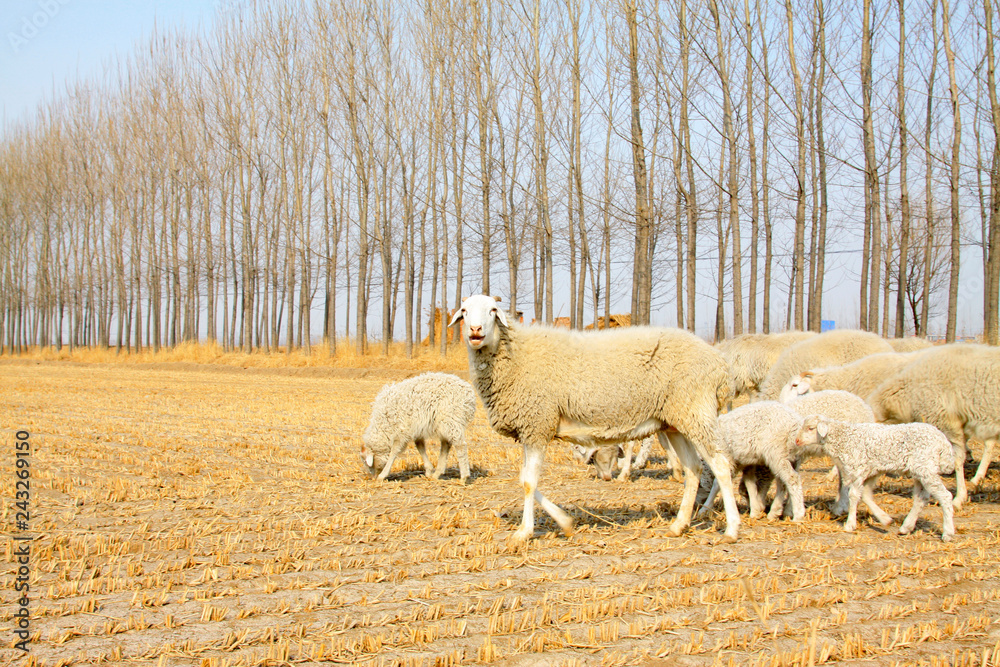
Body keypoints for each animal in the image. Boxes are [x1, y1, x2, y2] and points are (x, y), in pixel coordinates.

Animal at [448, 294, 742, 542]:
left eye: (493, 310)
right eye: (464, 311)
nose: (475, 331)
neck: (515, 354)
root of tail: (719, 363)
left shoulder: (538, 424)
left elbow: (529, 482)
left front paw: (524, 532)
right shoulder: (531, 428)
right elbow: (523, 479)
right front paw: (565, 522)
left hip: (696, 411)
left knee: (720, 465)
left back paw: (731, 529)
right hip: (676, 421)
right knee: (694, 468)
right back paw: (678, 525)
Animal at [793, 416, 956, 541]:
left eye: (811, 428)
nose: (797, 441)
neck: (844, 438)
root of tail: (944, 442)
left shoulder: (858, 469)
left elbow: (854, 496)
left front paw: (850, 524)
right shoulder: (871, 472)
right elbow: (865, 496)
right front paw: (885, 519)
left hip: (926, 468)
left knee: (945, 496)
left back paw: (948, 533)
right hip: (920, 471)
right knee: (920, 499)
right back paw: (906, 527)